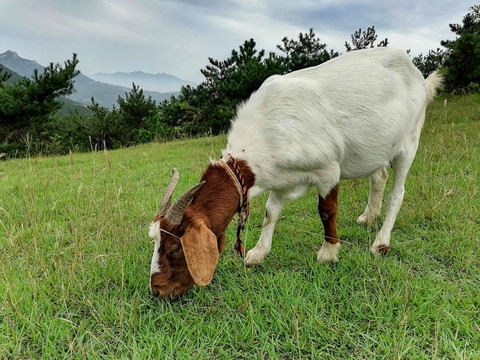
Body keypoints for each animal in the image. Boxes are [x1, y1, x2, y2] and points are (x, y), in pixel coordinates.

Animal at [150, 48, 442, 300]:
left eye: (175, 248)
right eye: (155, 240)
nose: (157, 291)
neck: (266, 129)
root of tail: (420, 77)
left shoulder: (328, 169)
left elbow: (326, 211)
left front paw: (328, 252)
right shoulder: (281, 177)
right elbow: (270, 212)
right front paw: (258, 253)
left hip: (409, 141)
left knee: (398, 192)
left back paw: (381, 242)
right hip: (376, 147)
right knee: (379, 176)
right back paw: (368, 217)